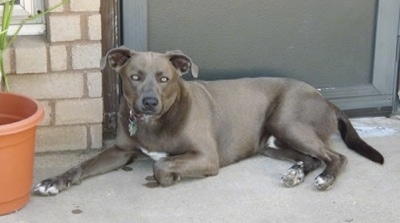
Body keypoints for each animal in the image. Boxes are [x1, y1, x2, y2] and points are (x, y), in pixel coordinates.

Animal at [35, 47, 384, 195]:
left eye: (164, 78)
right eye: (134, 77)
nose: (149, 102)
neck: (155, 122)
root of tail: (328, 100)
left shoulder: (206, 156)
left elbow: (162, 164)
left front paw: (166, 178)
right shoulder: (120, 151)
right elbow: (81, 166)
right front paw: (55, 181)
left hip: (288, 122)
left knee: (335, 156)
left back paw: (325, 178)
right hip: (271, 143)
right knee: (310, 158)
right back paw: (296, 172)